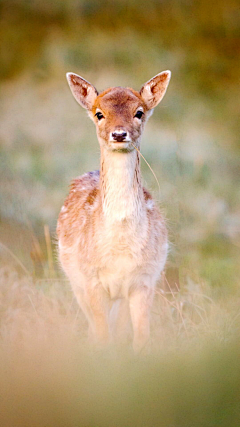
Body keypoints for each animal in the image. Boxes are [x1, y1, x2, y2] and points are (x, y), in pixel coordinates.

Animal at [57, 69, 171, 352]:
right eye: (99, 113)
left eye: (139, 112)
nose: (119, 134)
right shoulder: (91, 280)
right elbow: (102, 336)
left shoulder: (144, 280)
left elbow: (141, 338)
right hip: (75, 281)